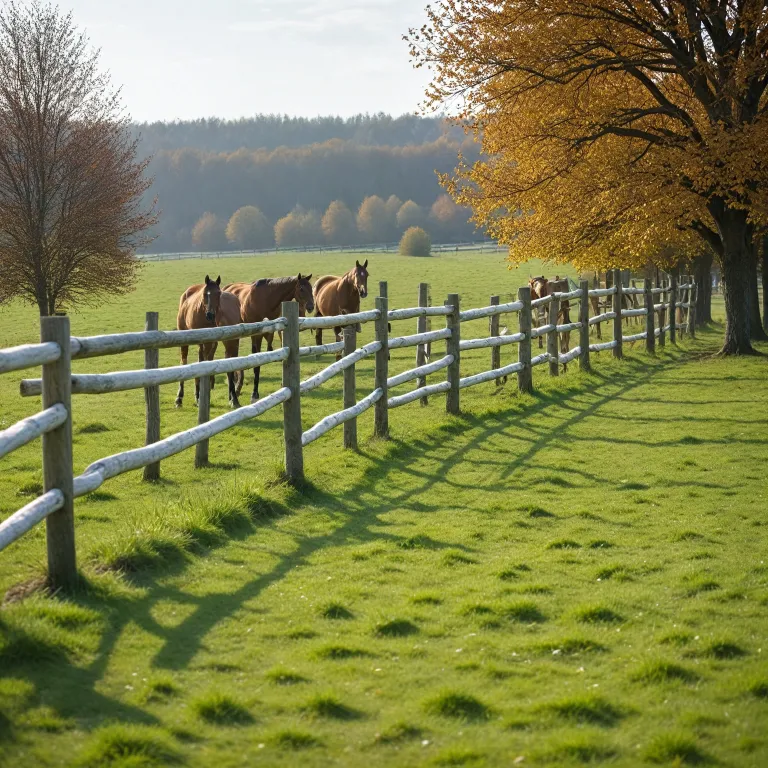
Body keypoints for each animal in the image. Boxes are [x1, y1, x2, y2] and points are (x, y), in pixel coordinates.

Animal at [175, 275, 242, 409]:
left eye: (218, 293)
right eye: (205, 293)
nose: (210, 315)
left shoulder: (219, 343)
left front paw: (233, 399)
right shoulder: (204, 342)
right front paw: (198, 396)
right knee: (184, 361)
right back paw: (180, 398)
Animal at [224, 274, 314, 403]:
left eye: (311, 288)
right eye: (301, 289)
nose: (311, 306)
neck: (267, 299)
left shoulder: (272, 332)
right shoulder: (257, 335)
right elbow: (256, 364)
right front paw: (254, 394)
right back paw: (233, 396)